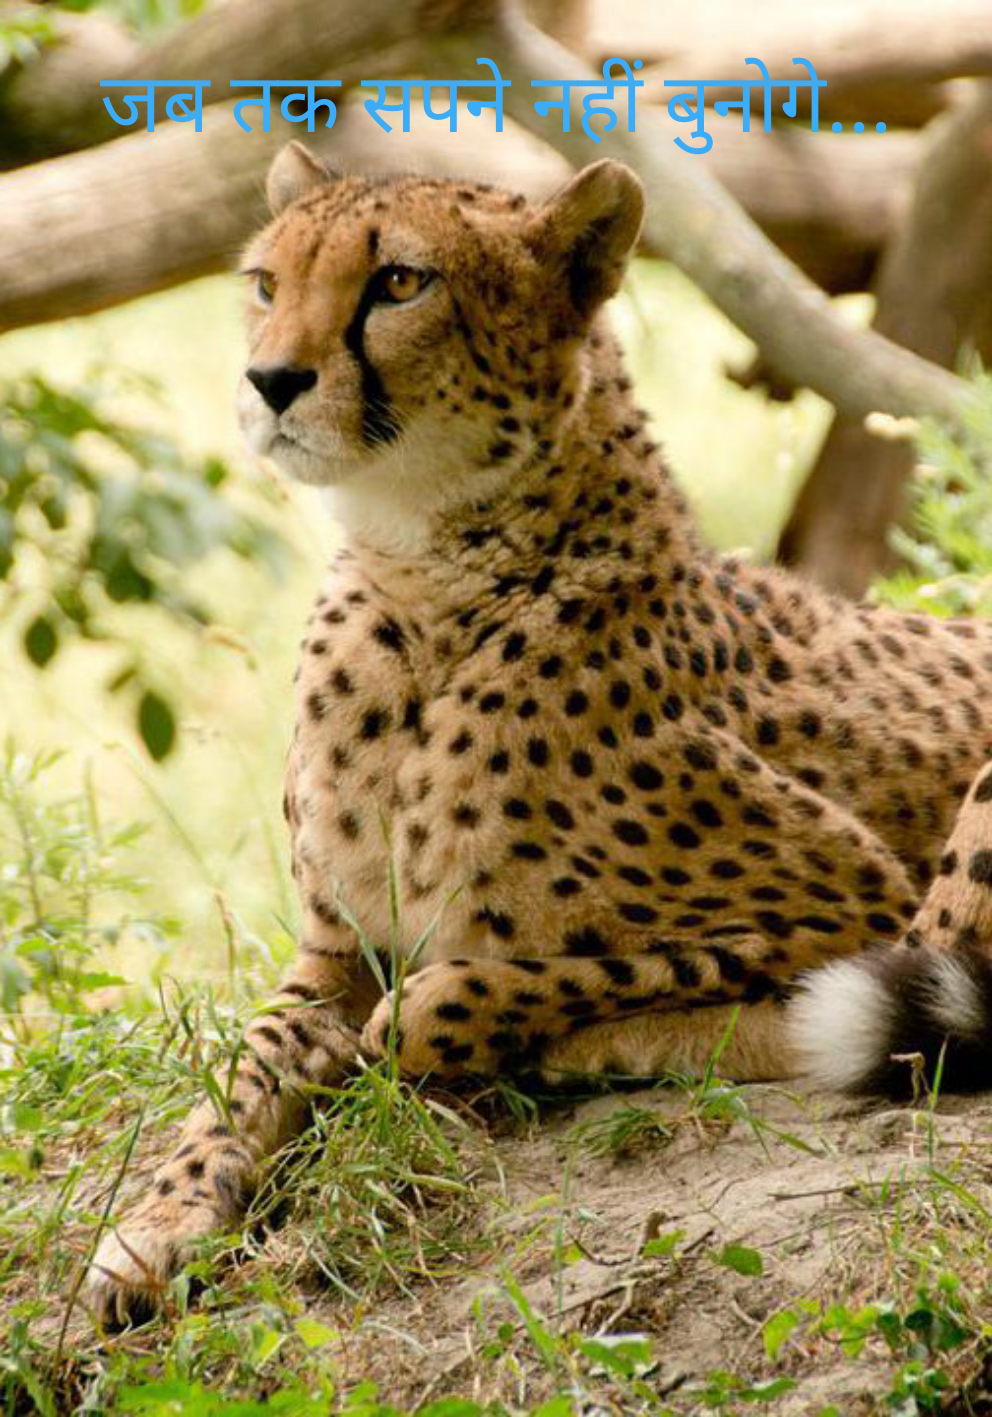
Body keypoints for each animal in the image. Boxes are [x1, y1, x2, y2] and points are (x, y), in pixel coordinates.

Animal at [88, 141, 992, 1327]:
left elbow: (487, 983)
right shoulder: (331, 946)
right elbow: (252, 1058)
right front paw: (162, 1217)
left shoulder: (851, 899)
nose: (269, 380)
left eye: (398, 282)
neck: (424, 582)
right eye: (265, 283)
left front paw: (475, 1030)